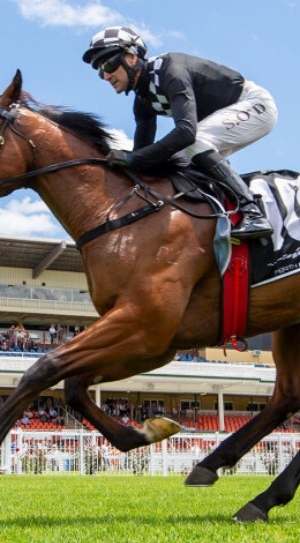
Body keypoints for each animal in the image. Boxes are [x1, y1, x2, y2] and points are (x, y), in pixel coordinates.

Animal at [0, 69, 300, 524]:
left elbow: (41, 369)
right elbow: (72, 385)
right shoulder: (152, 342)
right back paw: (231, 477)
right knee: (286, 397)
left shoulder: (144, 325)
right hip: (290, 321)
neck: (117, 209)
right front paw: (149, 429)